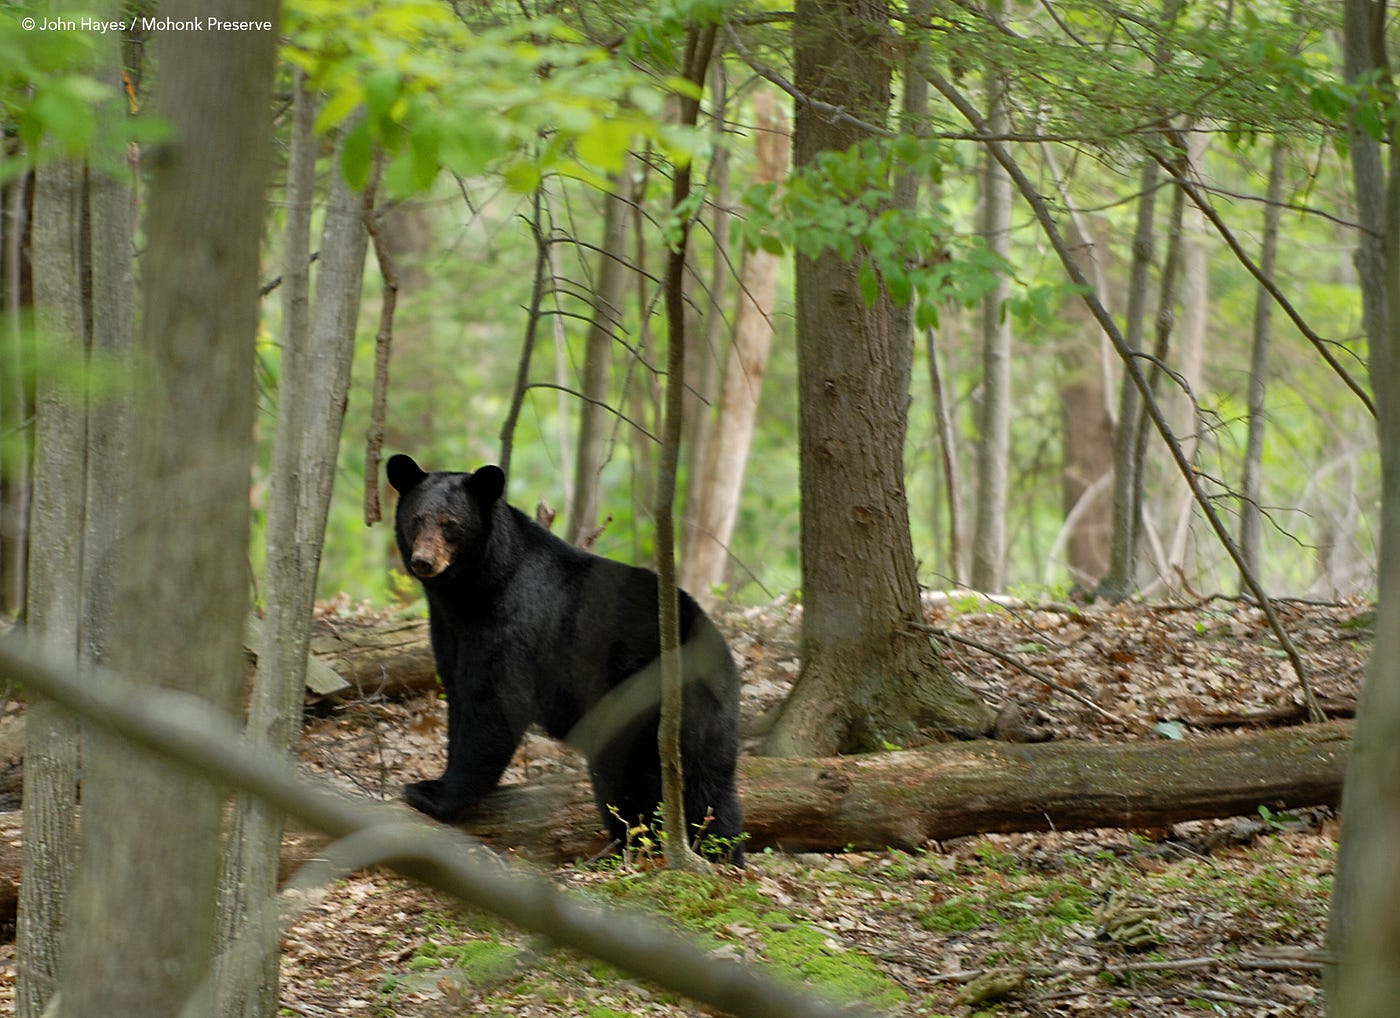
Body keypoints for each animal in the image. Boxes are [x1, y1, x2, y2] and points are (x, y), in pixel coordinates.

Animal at [386, 453, 744, 862]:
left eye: (451, 524)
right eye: (417, 519)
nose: (424, 561)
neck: (474, 590)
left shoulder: (512, 624)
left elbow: (493, 708)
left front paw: (433, 793)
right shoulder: (451, 632)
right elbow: (459, 695)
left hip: (637, 698)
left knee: (632, 777)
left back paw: (636, 843)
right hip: (711, 719)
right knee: (711, 786)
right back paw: (721, 851)